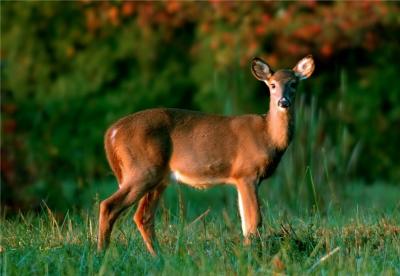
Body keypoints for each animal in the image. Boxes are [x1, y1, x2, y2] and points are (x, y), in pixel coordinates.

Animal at [97, 55, 316, 256]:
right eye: (272, 85)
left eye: (294, 84)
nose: (283, 102)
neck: (268, 135)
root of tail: (111, 133)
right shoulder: (246, 173)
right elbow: (254, 220)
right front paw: (252, 254)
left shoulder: (241, 178)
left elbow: (246, 222)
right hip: (142, 169)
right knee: (109, 205)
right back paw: (102, 253)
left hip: (159, 178)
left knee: (143, 216)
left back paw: (158, 255)